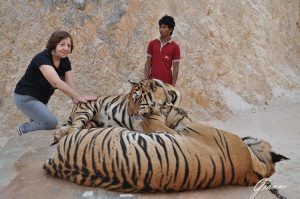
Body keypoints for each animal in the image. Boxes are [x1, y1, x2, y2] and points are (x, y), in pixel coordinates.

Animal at [50, 78, 182, 145]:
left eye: (138, 99)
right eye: (130, 99)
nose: (130, 114)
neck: (165, 102)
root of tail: (78, 102)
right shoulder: (153, 123)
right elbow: (173, 132)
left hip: (94, 122)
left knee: (75, 127)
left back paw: (58, 135)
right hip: (87, 110)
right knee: (73, 128)